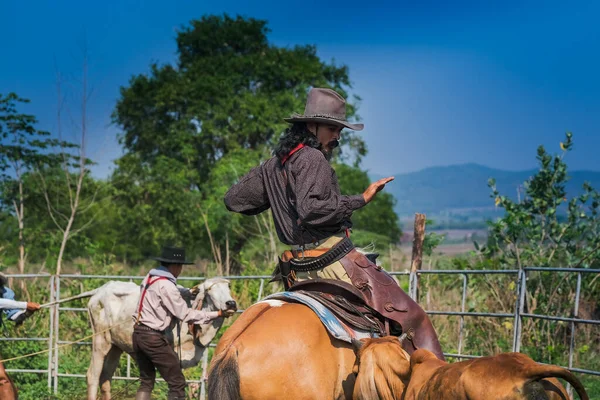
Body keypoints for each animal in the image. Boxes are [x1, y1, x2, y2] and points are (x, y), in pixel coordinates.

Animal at [85, 278, 236, 400]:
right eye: (209, 289)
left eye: (228, 286)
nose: (231, 303)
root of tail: (101, 289)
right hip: (100, 340)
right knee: (93, 376)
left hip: (115, 346)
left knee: (105, 377)